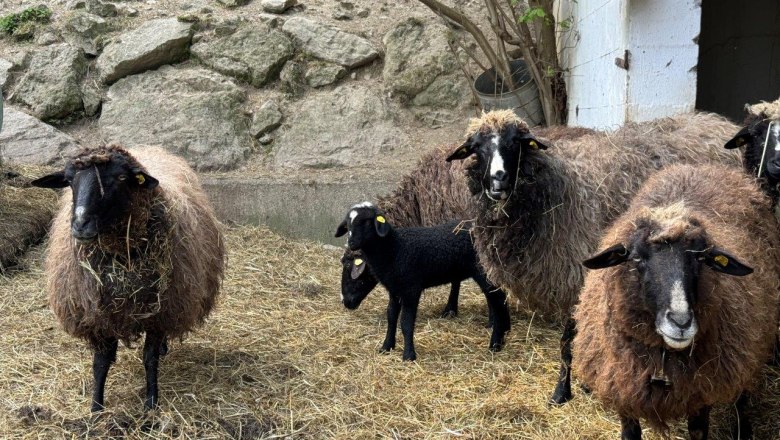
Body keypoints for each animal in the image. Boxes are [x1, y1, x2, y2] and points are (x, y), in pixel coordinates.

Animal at [31, 144, 225, 412]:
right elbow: (100, 363)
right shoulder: (98, 316)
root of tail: (147, 148)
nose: (80, 224)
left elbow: (149, 359)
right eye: (69, 181)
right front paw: (96, 407)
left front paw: (151, 402)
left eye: (121, 178)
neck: (122, 259)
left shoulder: (159, 313)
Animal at [335, 203, 510, 361]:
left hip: (483, 271)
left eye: (366, 222)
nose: (351, 243)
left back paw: (495, 343)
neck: (394, 248)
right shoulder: (394, 289)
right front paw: (386, 347)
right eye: (348, 225)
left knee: (497, 300)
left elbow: (406, 323)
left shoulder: (411, 288)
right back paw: (504, 333)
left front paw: (408, 355)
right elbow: (391, 317)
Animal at [445, 110, 742, 404]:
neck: (558, 191)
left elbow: (568, 342)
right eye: (477, 147)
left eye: (515, 143)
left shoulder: (576, 276)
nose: (499, 180)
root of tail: (713, 121)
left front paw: (562, 392)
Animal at [572, 163, 779, 439]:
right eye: (636, 258)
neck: (662, 358)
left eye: (700, 259)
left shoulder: (700, 396)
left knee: (743, 392)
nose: (681, 322)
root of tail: (701, 166)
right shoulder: (623, 391)